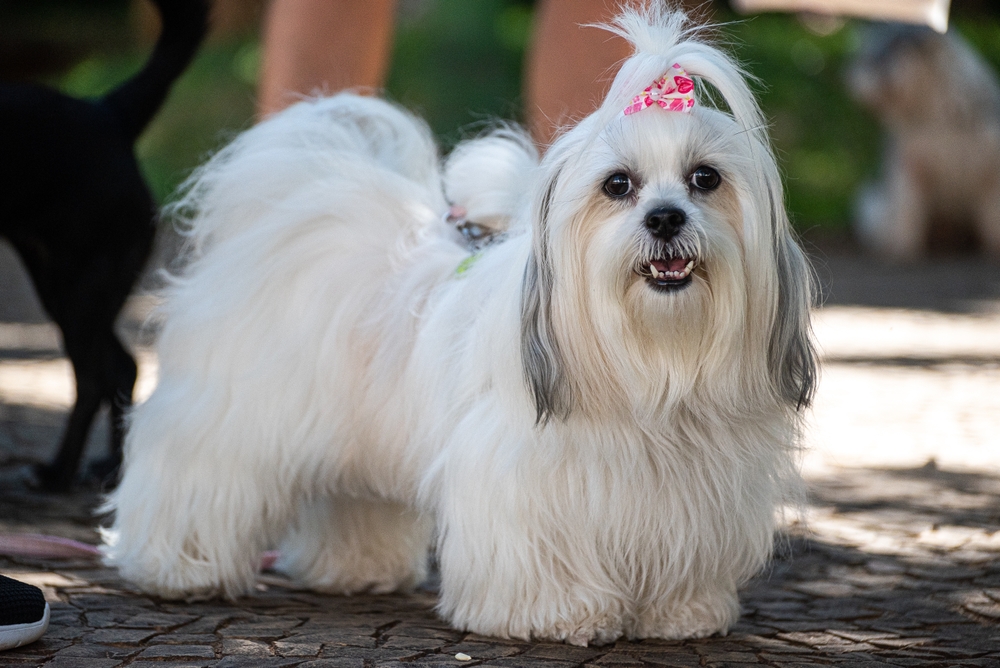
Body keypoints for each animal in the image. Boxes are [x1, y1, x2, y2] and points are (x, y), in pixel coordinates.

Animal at [0, 0, 209, 490]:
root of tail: (108, 112)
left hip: (83, 288)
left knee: (95, 378)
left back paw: (58, 474)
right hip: (66, 288)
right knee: (123, 367)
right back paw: (113, 468)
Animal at [105, 2, 816, 644]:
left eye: (705, 178)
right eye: (618, 185)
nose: (666, 217)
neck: (653, 362)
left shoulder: (699, 488)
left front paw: (681, 613)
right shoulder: (523, 478)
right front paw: (560, 615)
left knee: (354, 497)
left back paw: (356, 568)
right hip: (233, 414)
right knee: (193, 473)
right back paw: (176, 566)